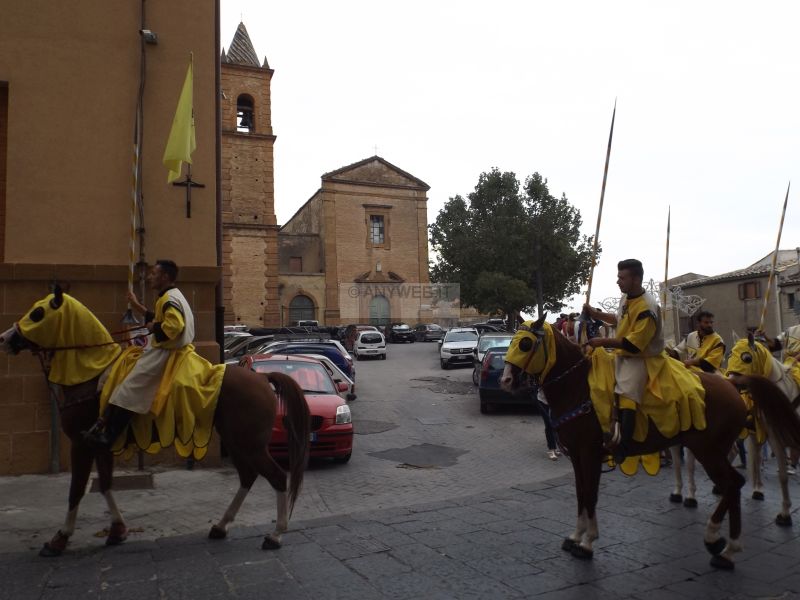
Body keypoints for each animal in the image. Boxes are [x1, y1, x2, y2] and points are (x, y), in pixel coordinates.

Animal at [0, 288, 310, 556]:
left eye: (37, 313)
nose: (5, 338)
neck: (92, 373)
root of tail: (262, 377)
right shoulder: (101, 444)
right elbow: (106, 485)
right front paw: (117, 530)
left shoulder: (81, 443)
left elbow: (76, 490)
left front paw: (60, 538)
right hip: (236, 441)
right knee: (248, 477)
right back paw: (221, 526)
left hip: (250, 444)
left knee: (277, 476)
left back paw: (276, 534)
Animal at [496, 316, 800, 568]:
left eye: (524, 343)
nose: (506, 380)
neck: (578, 387)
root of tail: (732, 383)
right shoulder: (577, 456)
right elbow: (581, 493)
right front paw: (576, 535)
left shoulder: (589, 452)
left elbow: (590, 494)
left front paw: (587, 542)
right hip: (714, 448)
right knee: (731, 485)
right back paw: (720, 541)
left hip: (709, 450)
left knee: (733, 483)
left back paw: (723, 545)